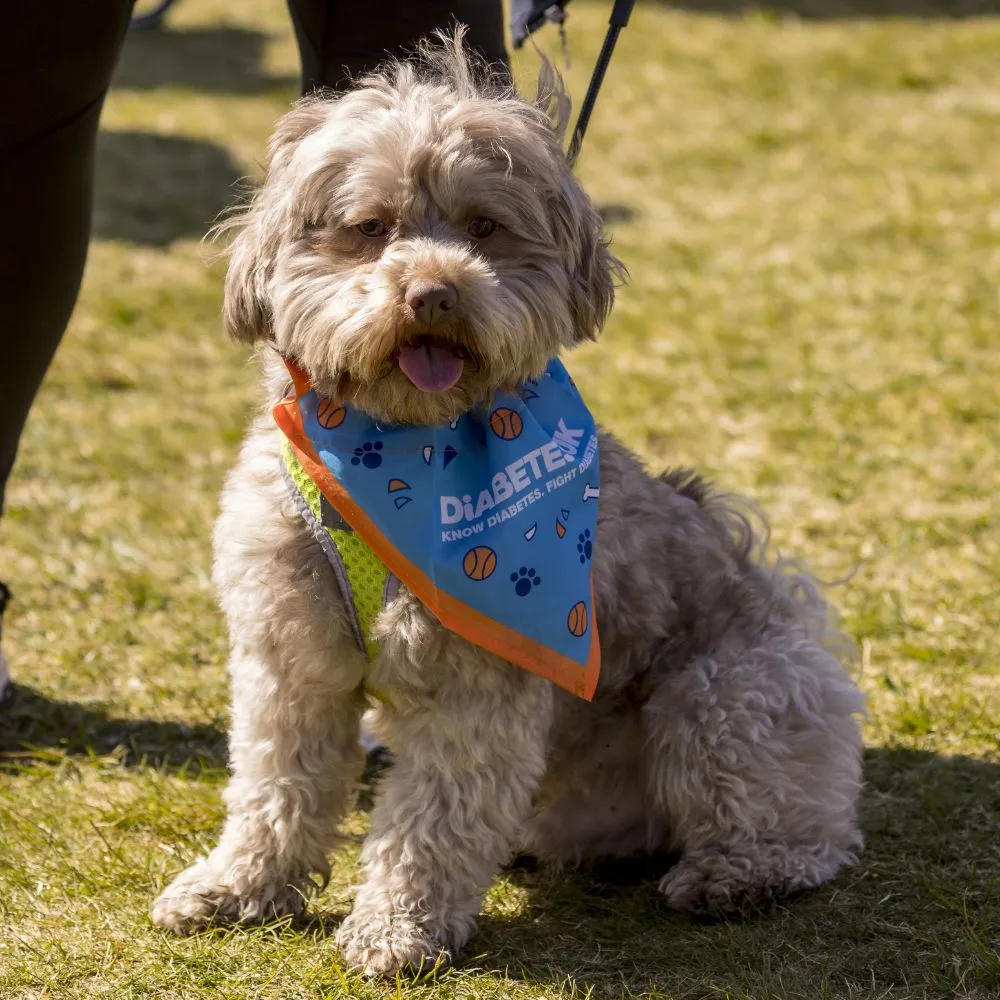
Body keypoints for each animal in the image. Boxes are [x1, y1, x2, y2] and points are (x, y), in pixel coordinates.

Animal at [150, 35, 868, 972]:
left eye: (484, 226)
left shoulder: (475, 687)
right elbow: (275, 788)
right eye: (370, 228)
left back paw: (735, 874)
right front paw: (236, 888)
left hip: (727, 692)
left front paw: (397, 929)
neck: (405, 454)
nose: (434, 292)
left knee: (804, 828)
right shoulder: (289, 659)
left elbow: (431, 822)